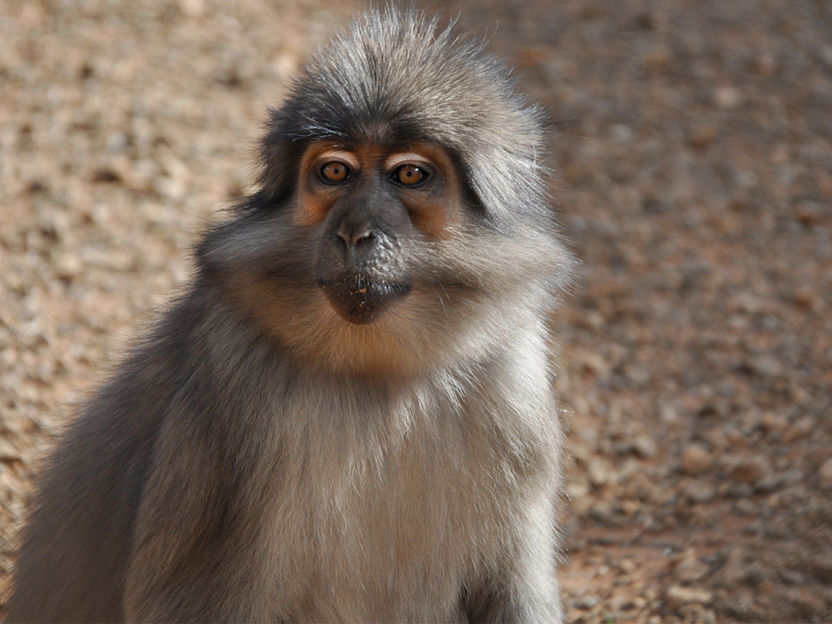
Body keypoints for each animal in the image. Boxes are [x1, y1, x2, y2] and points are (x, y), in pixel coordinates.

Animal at [6, 9, 576, 624]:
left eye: (409, 175)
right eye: (335, 172)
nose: (354, 231)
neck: (377, 377)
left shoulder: (512, 383)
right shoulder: (231, 395)